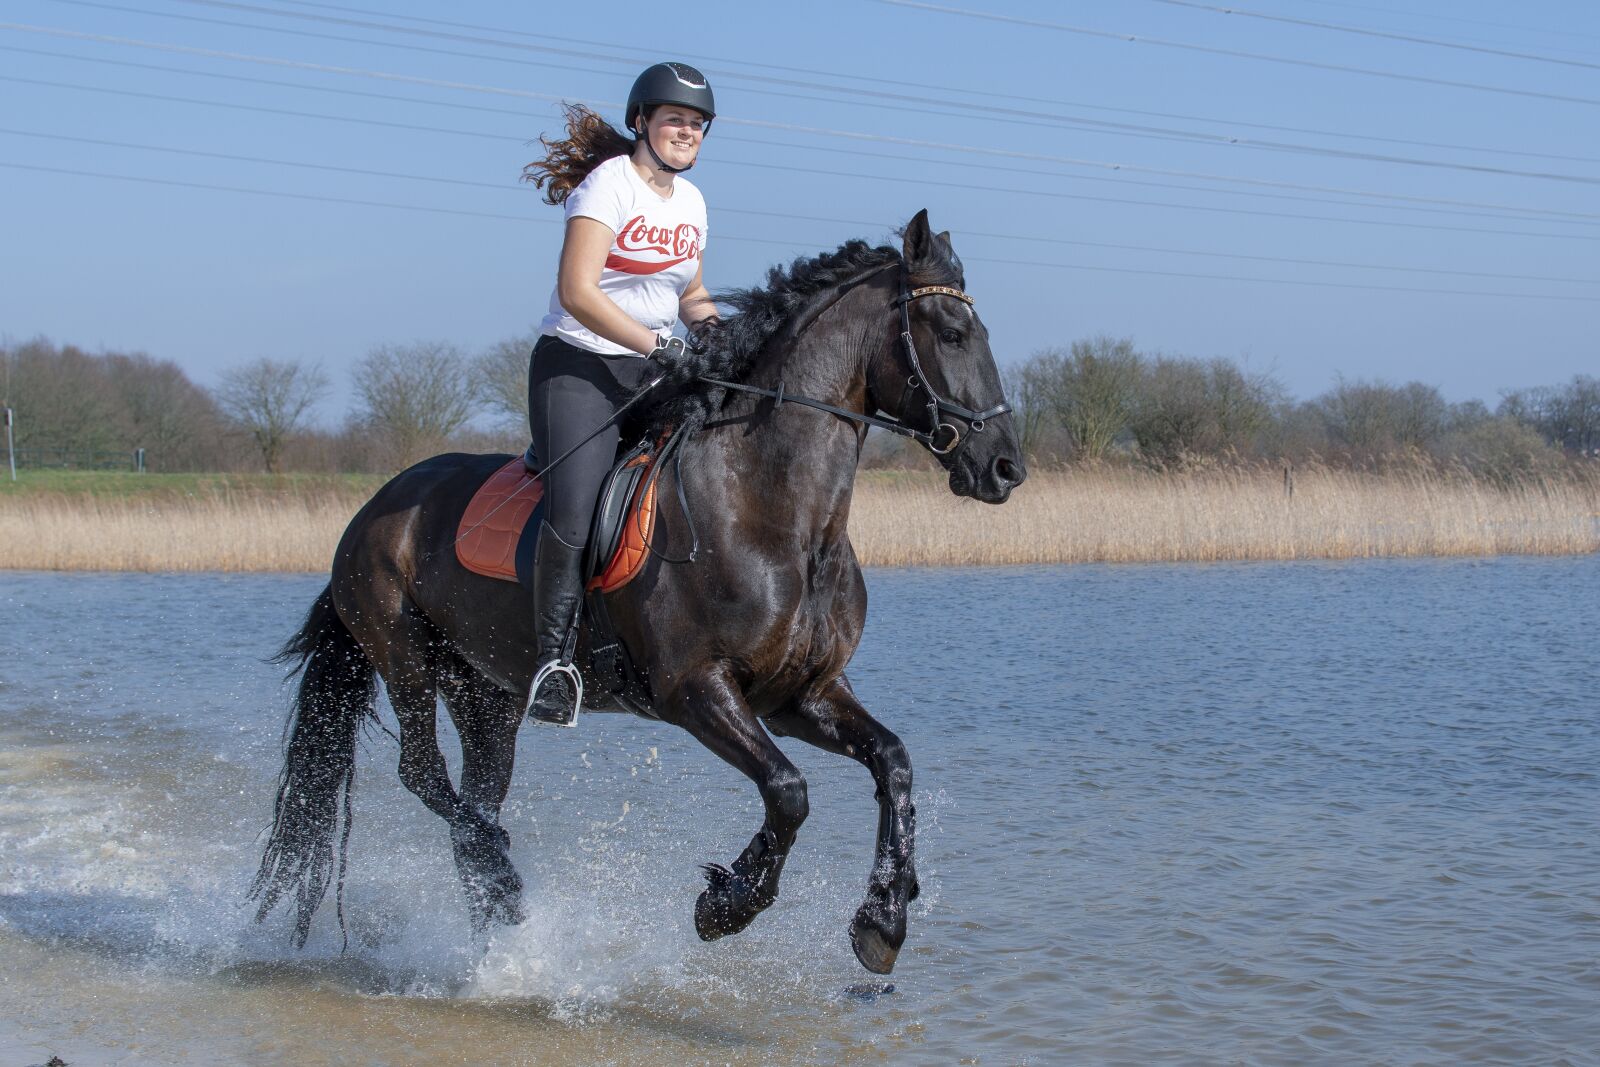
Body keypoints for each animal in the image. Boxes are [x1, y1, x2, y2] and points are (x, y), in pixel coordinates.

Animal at [252, 210, 1026, 975]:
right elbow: (789, 791)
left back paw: (501, 922)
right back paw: (506, 879)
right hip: (403, 654)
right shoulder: (696, 689)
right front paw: (726, 904)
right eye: (952, 334)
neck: (775, 514)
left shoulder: (800, 694)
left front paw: (883, 919)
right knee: (425, 775)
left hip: (485, 693)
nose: (1005, 467)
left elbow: (894, 762)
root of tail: (373, 508)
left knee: (476, 801)